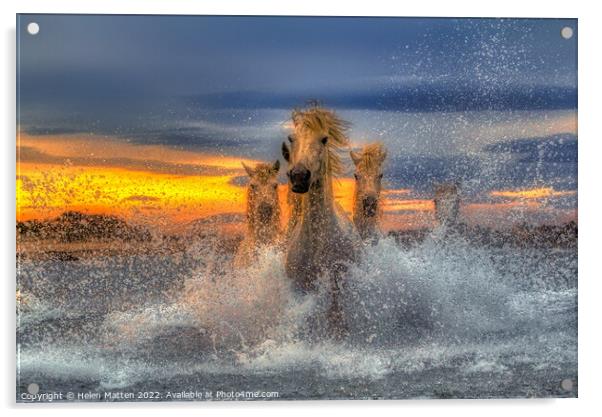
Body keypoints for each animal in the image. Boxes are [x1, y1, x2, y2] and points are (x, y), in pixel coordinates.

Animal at [280, 105, 358, 336]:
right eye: (292, 138)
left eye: (324, 139)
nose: (299, 176)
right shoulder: (302, 290)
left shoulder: (336, 289)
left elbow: (336, 321)